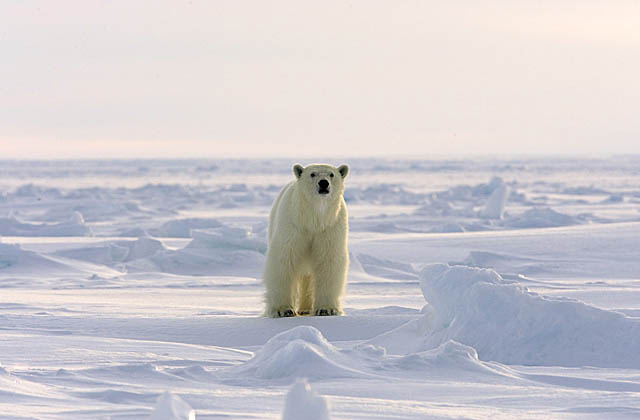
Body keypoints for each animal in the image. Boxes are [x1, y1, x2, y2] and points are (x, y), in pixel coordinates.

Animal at [262, 162, 350, 316]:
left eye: (331, 174)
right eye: (312, 174)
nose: (323, 183)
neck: (313, 219)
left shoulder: (330, 227)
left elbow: (328, 262)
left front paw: (326, 309)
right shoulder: (294, 226)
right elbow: (284, 260)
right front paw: (283, 310)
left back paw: (305, 308)